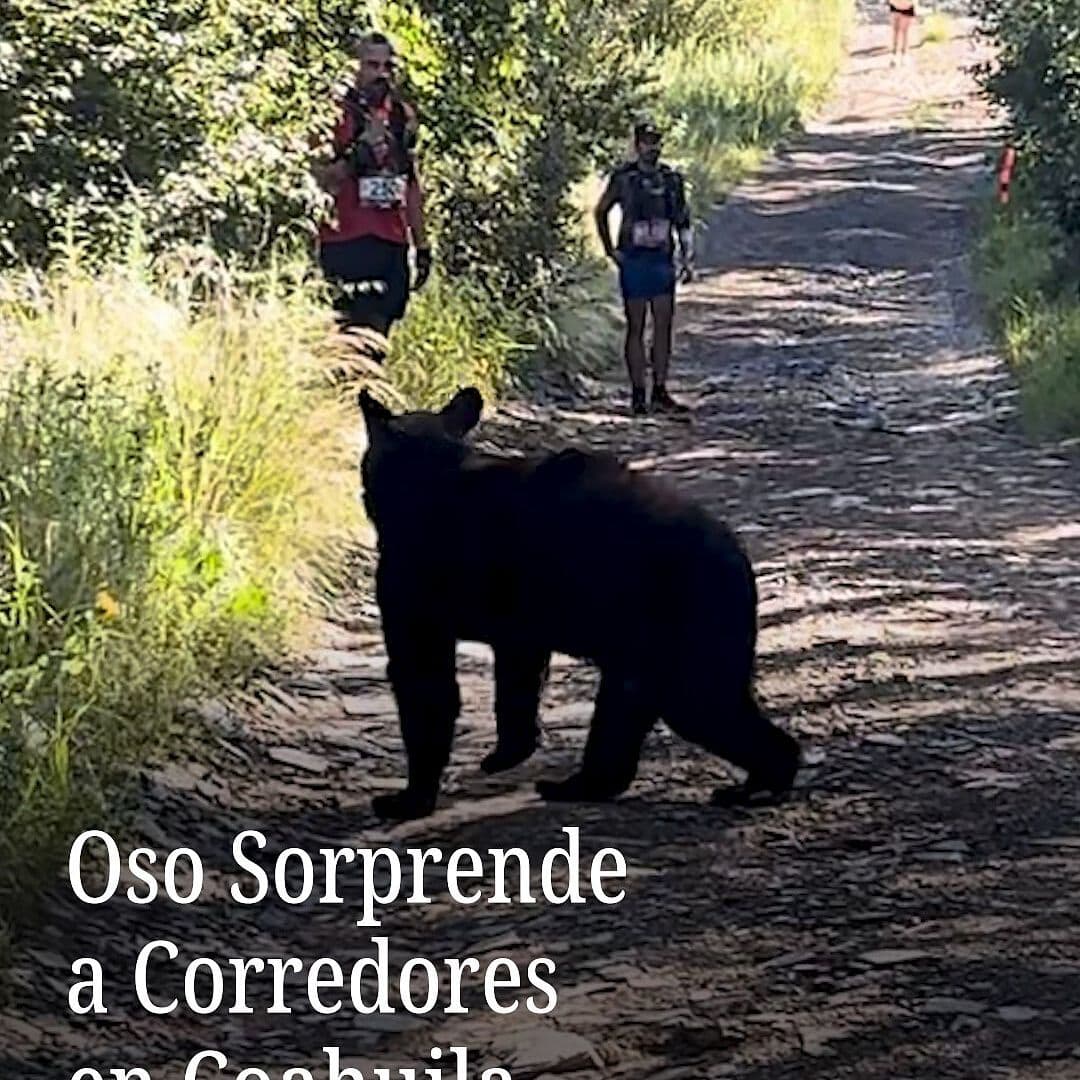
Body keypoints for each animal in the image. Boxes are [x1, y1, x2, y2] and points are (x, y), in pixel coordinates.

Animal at [358, 385, 800, 822]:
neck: (429, 476)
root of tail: (739, 558)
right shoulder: (520, 622)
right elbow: (518, 677)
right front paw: (508, 751)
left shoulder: (414, 594)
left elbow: (424, 684)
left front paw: (409, 799)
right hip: (651, 644)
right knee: (629, 708)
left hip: (687, 625)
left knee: (698, 703)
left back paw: (758, 782)